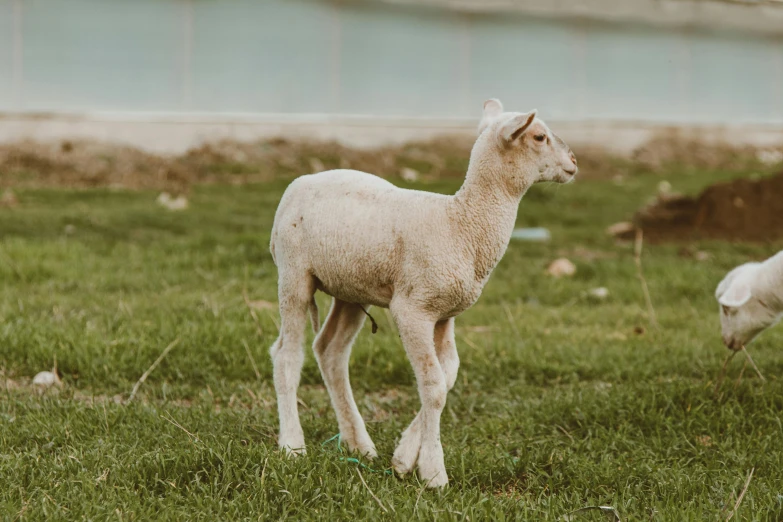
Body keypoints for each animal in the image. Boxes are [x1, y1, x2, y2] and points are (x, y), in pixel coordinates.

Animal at [268, 99, 576, 486]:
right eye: (539, 136)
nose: (574, 162)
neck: (461, 223)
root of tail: (298, 183)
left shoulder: (446, 313)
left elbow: (448, 376)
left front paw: (403, 457)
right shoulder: (412, 309)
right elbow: (432, 384)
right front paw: (433, 472)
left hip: (351, 288)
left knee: (330, 351)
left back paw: (359, 444)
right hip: (294, 274)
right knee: (286, 355)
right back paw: (293, 446)